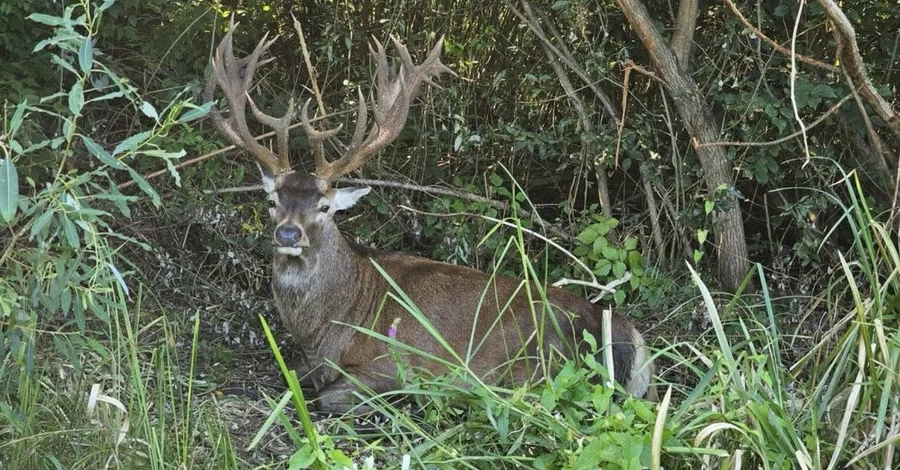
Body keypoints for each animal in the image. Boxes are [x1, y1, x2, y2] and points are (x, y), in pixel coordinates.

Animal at [204, 21, 655, 413]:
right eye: (271, 201)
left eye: (325, 206)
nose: (288, 235)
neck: (329, 328)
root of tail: (631, 336)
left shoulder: (396, 362)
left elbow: (327, 397)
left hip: (539, 366)